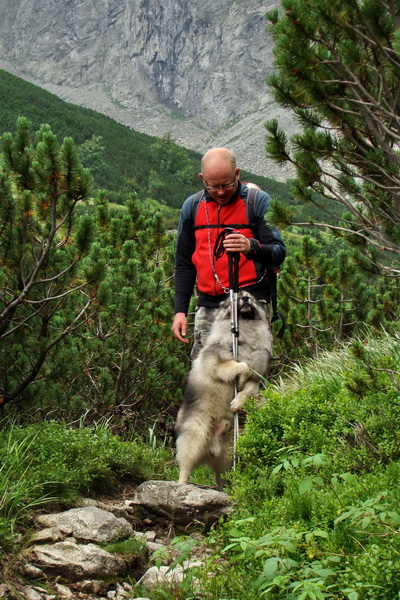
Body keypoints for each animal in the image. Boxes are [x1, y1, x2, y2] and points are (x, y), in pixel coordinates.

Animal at [174, 292, 272, 488]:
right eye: (236, 298)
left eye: (249, 296)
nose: (245, 299)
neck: (245, 340)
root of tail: (212, 448)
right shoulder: (217, 362)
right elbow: (241, 365)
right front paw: (240, 377)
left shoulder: (256, 377)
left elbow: (248, 386)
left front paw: (238, 401)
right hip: (195, 436)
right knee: (186, 465)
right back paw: (181, 485)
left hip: (229, 454)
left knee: (221, 476)